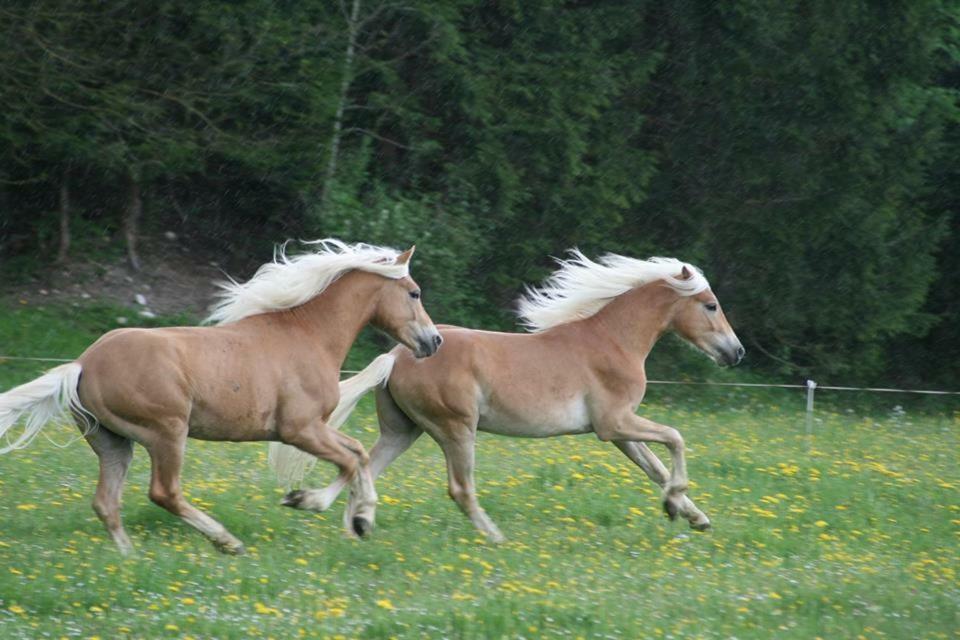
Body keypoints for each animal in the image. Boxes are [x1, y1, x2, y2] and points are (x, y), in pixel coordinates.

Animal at [0, 240, 442, 556]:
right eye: (414, 293)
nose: (434, 341)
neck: (307, 336)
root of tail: (82, 364)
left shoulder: (312, 429)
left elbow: (359, 455)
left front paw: (361, 519)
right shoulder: (299, 429)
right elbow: (350, 461)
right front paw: (307, 502)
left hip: (113, 442)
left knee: (106, 503)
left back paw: (130, 559)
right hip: (166, 432)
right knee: (164, 493)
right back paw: (227, 542)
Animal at [274, 252, 748, 544]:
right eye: (710, 305)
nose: (736, 352)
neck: (613, 341)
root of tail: (398, 353)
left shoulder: (619, 432)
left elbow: (654, 466)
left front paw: (692, 515)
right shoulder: (614, 423)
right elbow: (675, 438)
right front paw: (675, 505)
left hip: (403, 430)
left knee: (364, 465)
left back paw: (340, 518)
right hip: (455, 429)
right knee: (459, 488)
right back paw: (495, 538)